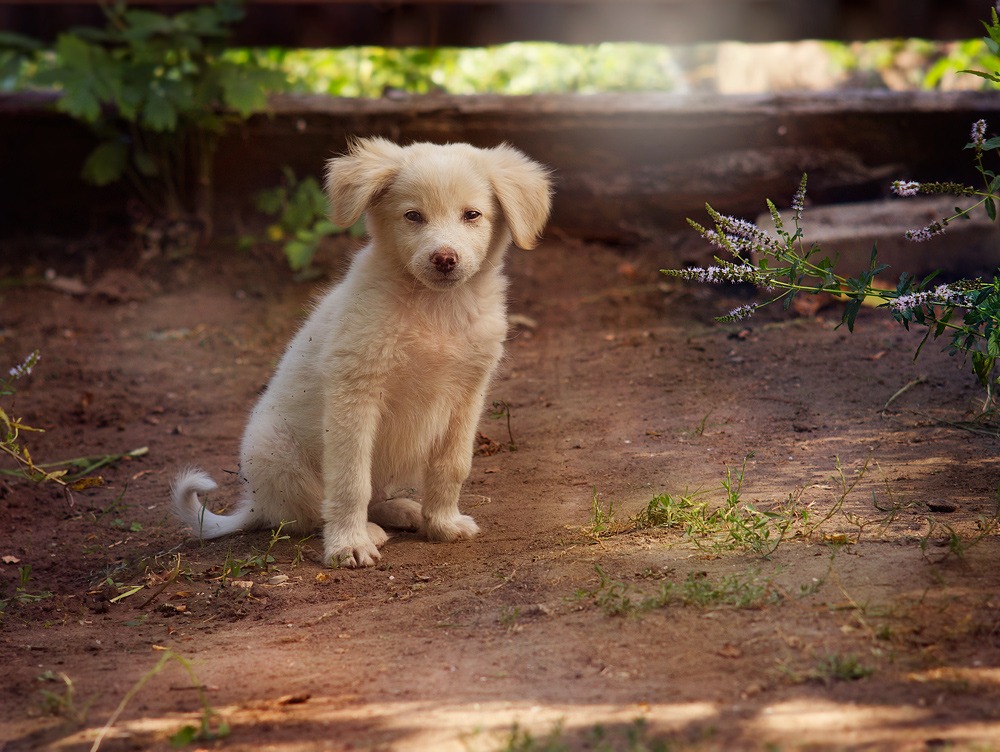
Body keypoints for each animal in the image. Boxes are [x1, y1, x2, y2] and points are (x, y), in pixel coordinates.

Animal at [169, 138, 552, 568]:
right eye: (413, 216)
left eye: (472, 215)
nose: (444, 259)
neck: (436, 309)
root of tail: (256, 504)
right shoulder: (355, 392)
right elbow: (351, 480)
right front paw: (347, 546)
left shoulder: (468, 395)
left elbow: (451, 467)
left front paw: (442, 524)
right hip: (273, 450)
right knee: (310, 511)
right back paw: (364, 530)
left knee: (371, 495)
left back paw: (405, 511)